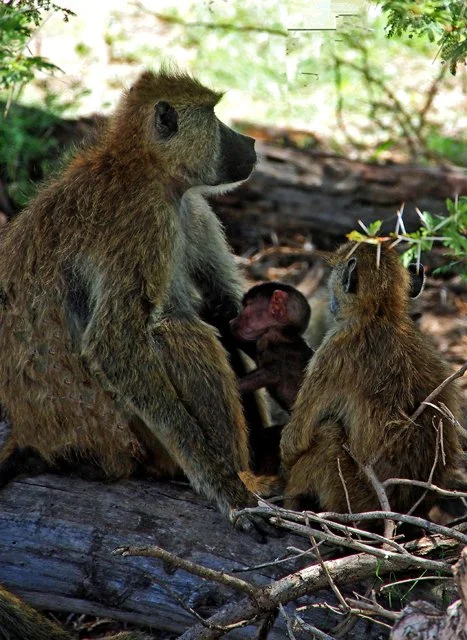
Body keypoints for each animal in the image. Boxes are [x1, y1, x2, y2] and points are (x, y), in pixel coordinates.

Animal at [0, 69, 277, 538]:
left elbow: (227, 307)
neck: (147, 167)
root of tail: (34, 434)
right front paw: (232, 496)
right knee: (174, 331)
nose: (252, 143)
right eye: (215, 113)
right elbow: (116, 344)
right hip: (134, 442)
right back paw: (244, 477)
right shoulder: (143, 221)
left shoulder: (191, 209)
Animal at [280, 241, 463, 520]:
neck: (380, 314)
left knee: (328, 434)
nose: (331, 302)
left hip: (355, 501)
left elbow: (295, 440)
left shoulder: (330, 353)